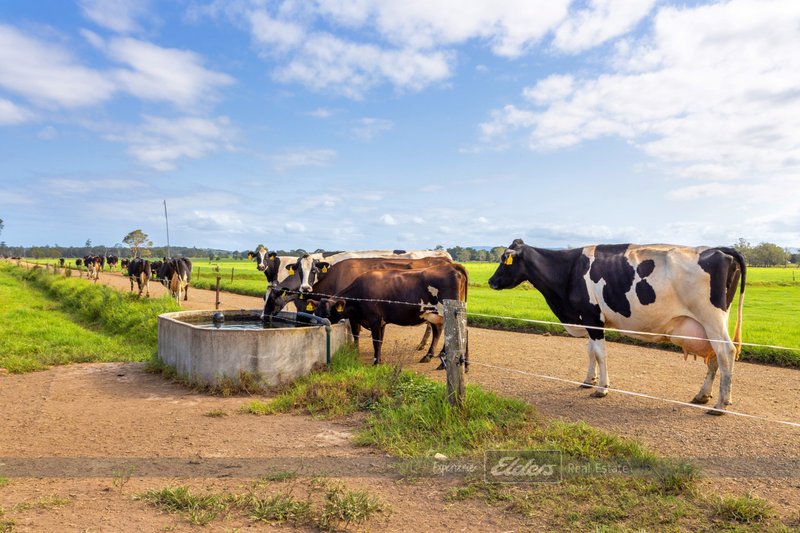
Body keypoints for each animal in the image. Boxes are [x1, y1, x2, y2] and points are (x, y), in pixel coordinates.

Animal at [490, 239, 748, 414]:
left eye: (505, 261)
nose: (490, 281)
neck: (568, 270)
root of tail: (719, 249)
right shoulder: (589, 319)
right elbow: (590, 352)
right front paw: (588, 380)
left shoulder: (593, 318)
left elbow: (600, 354)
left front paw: (602, 388)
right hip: (713, 322)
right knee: (716, 356)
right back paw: (704, 395)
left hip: (711, 317)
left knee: (726, 352)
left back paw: (720, 405)